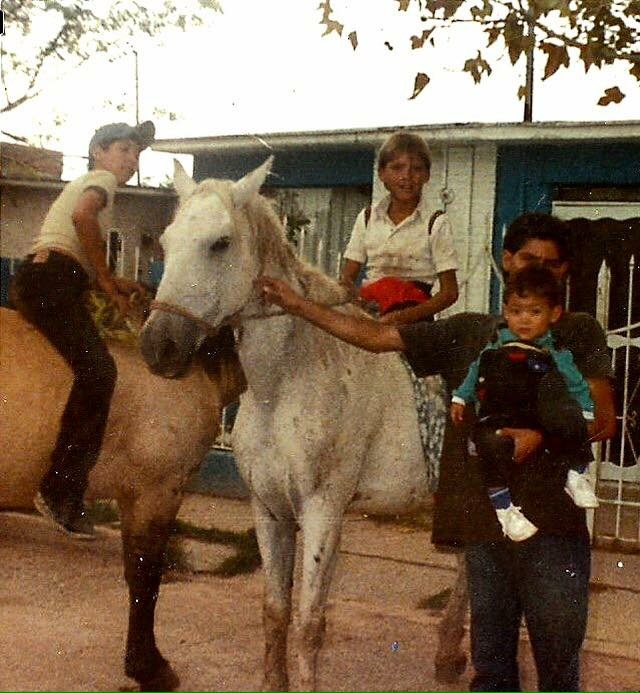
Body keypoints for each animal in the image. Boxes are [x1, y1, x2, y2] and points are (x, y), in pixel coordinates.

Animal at [140, 158, 468, 690]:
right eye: (166, 242)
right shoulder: (269, 510)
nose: (159, 346)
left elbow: (309, 623)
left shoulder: (322, 513)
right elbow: (275, 610)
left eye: (221, 243)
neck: (286, 382)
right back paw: (448, 656)